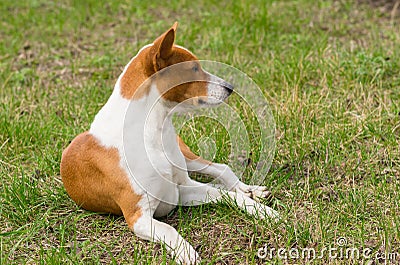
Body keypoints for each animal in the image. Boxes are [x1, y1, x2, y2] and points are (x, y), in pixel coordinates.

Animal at [60, 22, 278, 262]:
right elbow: (169, 229)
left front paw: (261, 210)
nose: (230, 87)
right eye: (193, 69)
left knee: (221, 169)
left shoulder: (180, 190)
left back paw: (250, 189)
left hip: (187, 157)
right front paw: (187, 253)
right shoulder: (140, 216)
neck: (154, 132)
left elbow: (227, 194)